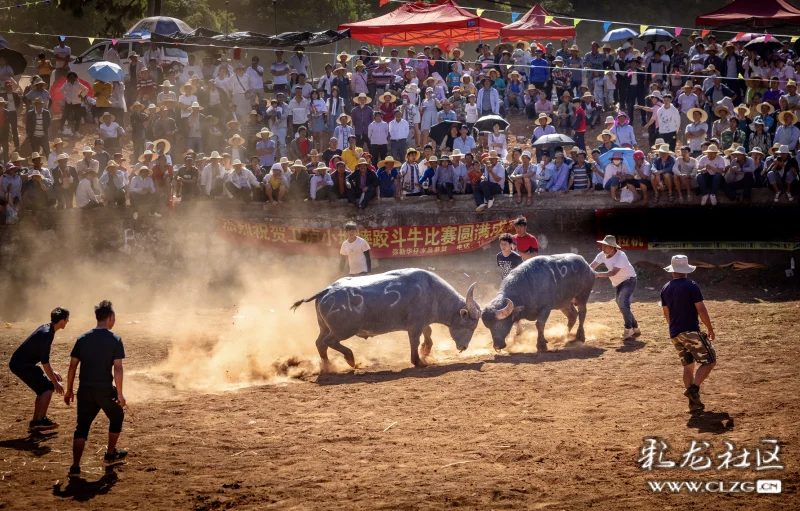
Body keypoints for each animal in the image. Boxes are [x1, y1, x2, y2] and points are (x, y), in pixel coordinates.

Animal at [292, 268, 484, 372]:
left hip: (325, 327)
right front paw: (418, 361)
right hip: (343, 331)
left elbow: (428, 333)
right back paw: (350, 359)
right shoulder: (414, 325)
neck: (431, 290)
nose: (463, 347)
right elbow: (415, 340)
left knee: (320, 343)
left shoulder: (422, 321)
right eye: (470, 324)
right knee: (328, 341)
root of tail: (326, 290)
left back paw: (328, 366)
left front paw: (426, 350)